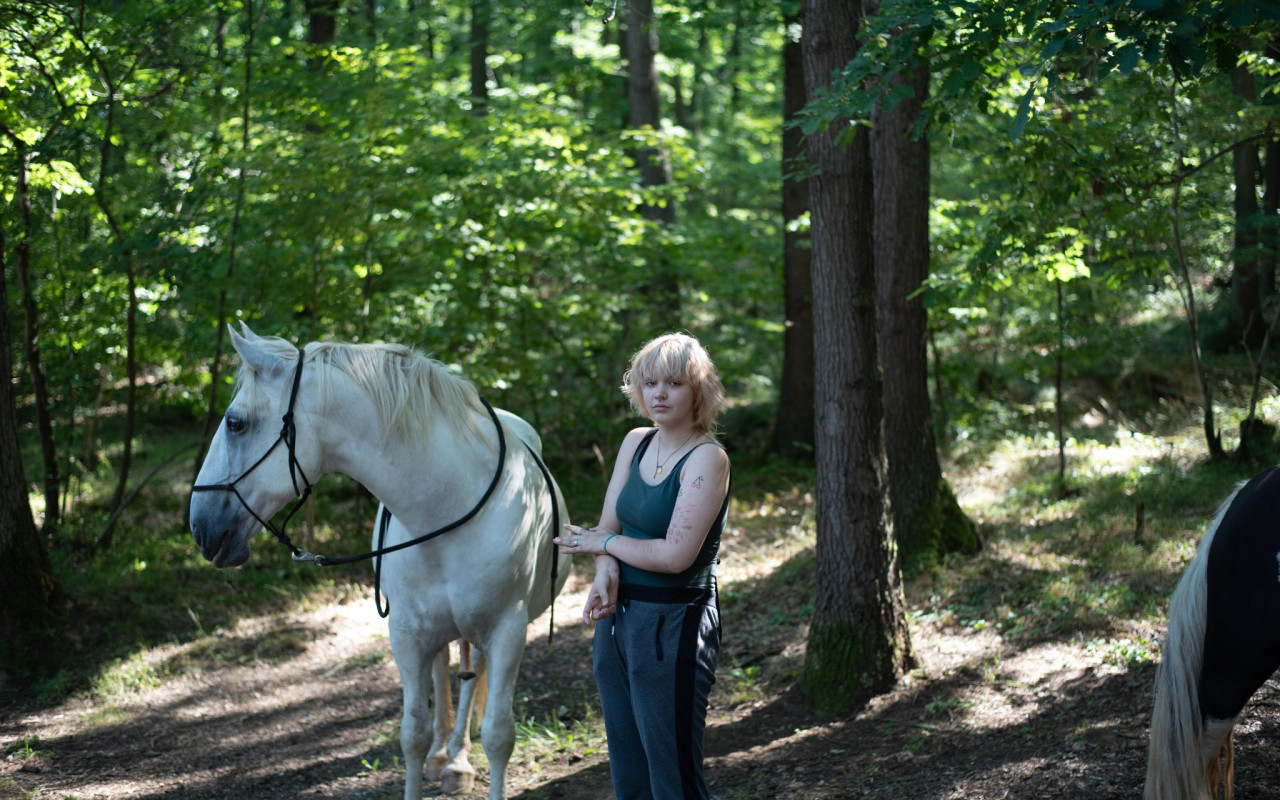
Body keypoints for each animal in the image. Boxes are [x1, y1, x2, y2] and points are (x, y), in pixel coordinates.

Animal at [189, 325, 570, 798]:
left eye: (235, 422)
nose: (199, 526)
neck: (445, 502)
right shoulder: (406, 633)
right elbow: (413, 734)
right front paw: (429, 753)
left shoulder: (507, 631)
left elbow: (499, 735)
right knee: (445, 669)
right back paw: (444, 756)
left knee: (471, 673)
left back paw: (458, 760)